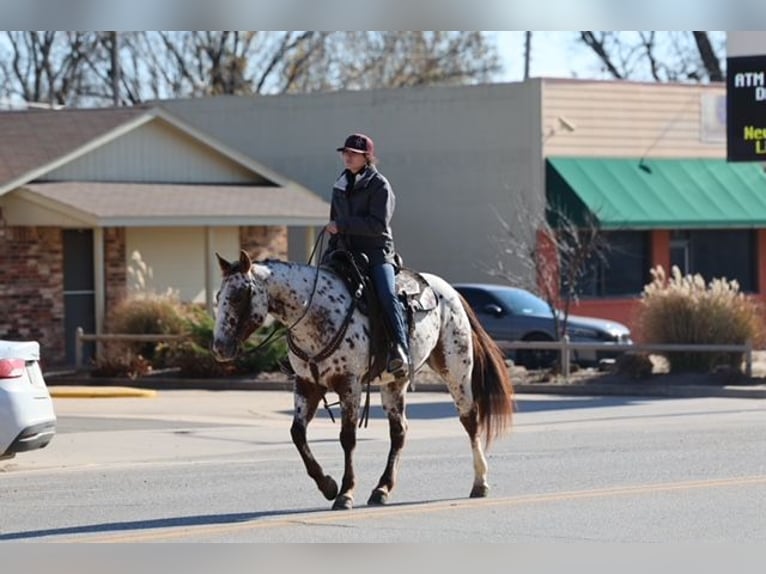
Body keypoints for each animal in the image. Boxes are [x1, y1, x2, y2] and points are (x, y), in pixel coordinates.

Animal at [212, 250, 514, 510]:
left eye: (238, 296)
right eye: (218, 296)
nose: (219, 348)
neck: (317, 313)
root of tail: (450, 290)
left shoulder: (350, 384)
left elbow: (348, 438)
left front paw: (345, 493)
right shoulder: (307, 384)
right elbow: (297, 434)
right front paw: (328, 485)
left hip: (456, 369)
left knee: (469, 418)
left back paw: (480, 482)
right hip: (395, 384)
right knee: (399, 431)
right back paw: (382, 489)